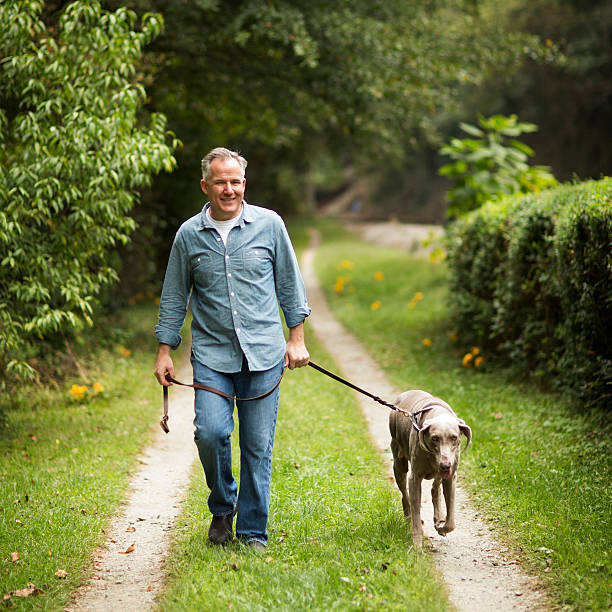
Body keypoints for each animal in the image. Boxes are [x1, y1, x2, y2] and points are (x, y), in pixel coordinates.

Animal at [390, 390, 470, 548]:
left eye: (454, 437)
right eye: (435, 438)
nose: (445, 465)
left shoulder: (451, 477)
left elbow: (451, 521)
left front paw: (442, 526)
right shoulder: (415, 478)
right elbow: (416, 510)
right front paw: (417, 542)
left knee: (435, 488)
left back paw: (438, 518)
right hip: (399, 464)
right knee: (405, 495)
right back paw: (408, 515)